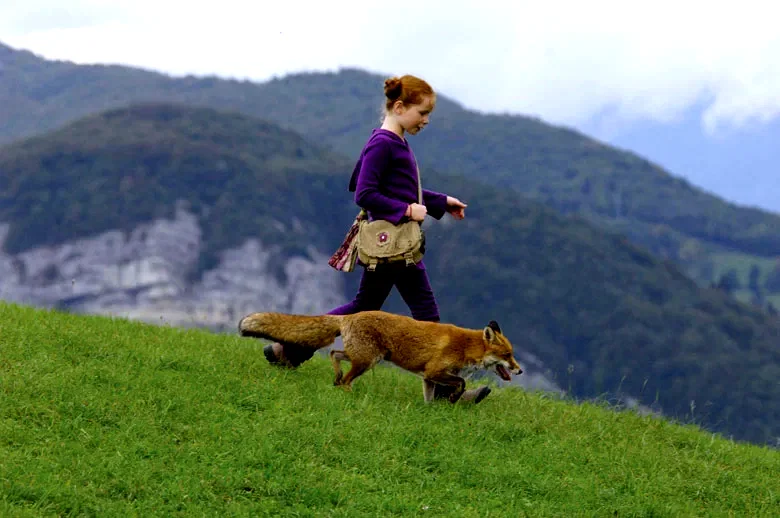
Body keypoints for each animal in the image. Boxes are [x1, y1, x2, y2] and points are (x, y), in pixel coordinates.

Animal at [237, 310, 523, 403]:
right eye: (507, 355)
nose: (520, 370)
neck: (466, 347)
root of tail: (349, 315)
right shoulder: (435, 371)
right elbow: (461, 382)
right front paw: (454, 398)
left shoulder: (428, 378)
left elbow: (429, 400)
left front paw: (433, 411)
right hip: (367, 361)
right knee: (345, 377)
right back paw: (347, 393)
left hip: (364, 357)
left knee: (335, 354)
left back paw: (336, 377)